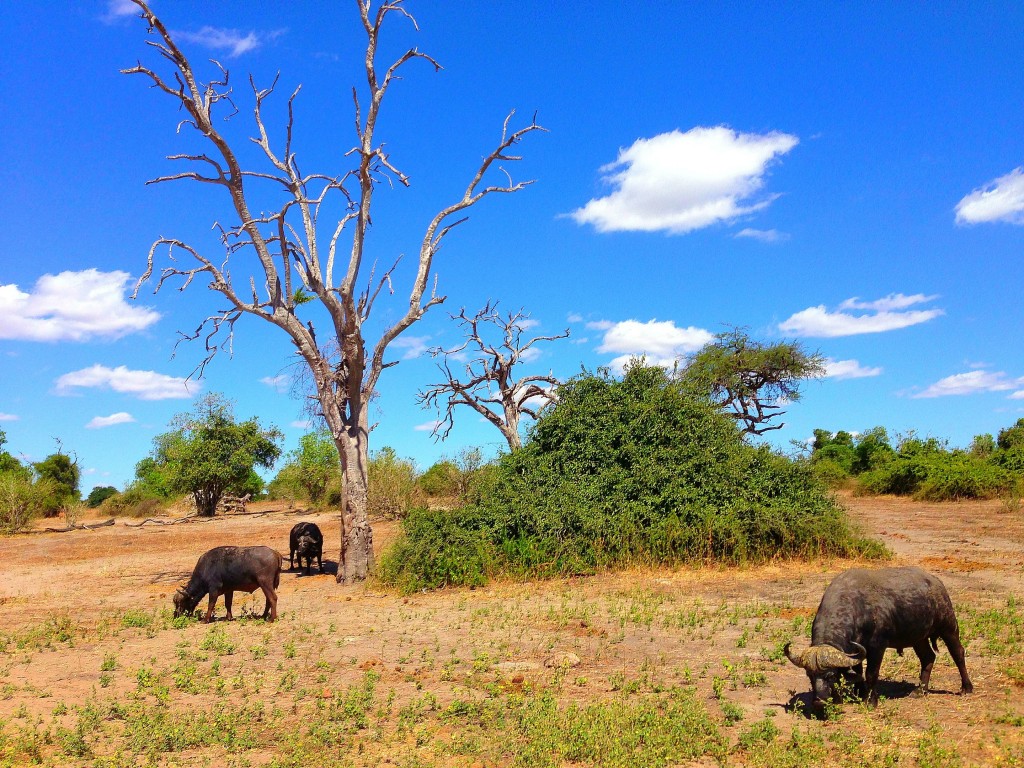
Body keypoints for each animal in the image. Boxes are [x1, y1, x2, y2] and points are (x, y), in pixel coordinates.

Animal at [786, 565, 970, 708]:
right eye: (809, 676)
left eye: (831, 676)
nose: (819, 701)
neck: (857, 607)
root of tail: (936, 582)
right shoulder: (854, 651)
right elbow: (858, 671)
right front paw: (858, 693)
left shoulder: (877, 646)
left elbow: (871, 673)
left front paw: (871, 701)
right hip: (919, 638)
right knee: (928, 657)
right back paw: (920, 690)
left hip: (948, 626)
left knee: (958, 653)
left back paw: (966, 688)